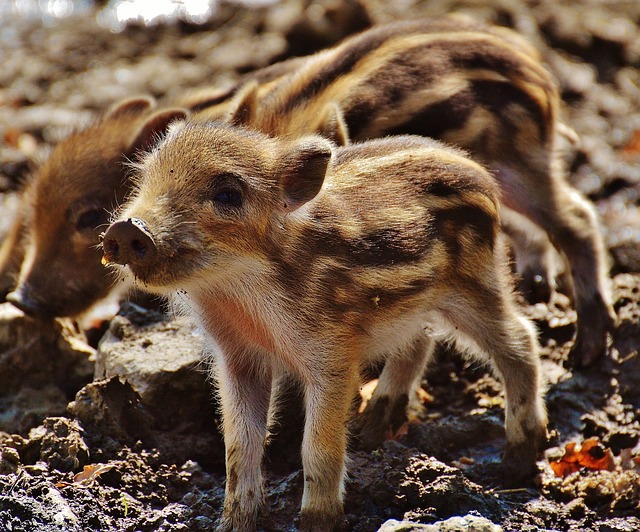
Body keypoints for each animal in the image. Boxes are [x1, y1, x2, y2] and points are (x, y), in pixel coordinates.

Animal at [102, 120, 547, 531]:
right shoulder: (238, 359)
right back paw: (371, 430)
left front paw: (317, 522)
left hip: (473, 285)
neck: (238, 293)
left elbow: (318, 447)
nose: (127, 228)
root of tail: (482, 175)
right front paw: (234, 522)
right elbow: (239, 445)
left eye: (228, 193)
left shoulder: (331, 353)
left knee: (520, 340)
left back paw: (518, 459)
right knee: (419, 342)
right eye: (145, 178)